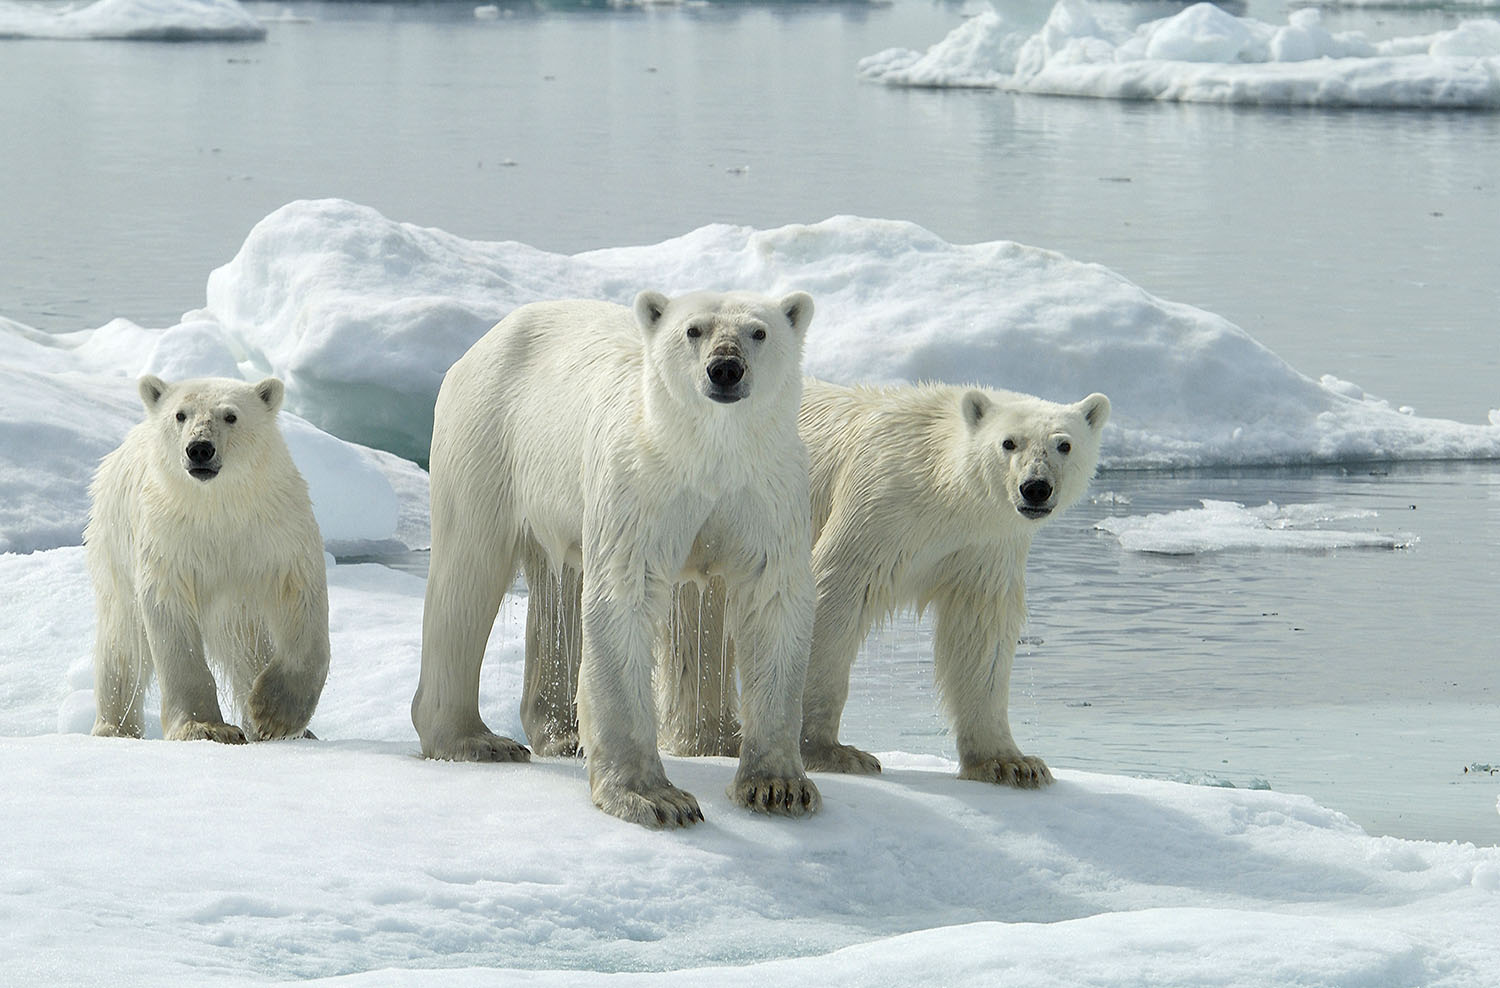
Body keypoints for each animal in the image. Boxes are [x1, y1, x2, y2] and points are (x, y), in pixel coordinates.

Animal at [86, 376, 330, 743]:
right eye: (180, 415)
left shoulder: (275, 531)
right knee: (122, 643)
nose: (200, 448)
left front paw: (273, 715)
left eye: (231, 415)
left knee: (247, 649)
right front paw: (206, 727)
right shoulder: (169, 540)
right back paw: (114, 727)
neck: (217, 506)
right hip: (114, 548)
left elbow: (301, 600)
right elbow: (170, 621)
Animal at [414, 289, 822, 833]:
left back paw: (567, 733)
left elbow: (773, 599)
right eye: (692, 329)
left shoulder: (767, 492)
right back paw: (477, 740)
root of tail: (488, 338)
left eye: (759, 331)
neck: (706, 453)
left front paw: (778, 786)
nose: (725, 368)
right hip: (490, 436)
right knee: (467, 571)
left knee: (559, 585)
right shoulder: (641, 484)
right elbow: (624, 595)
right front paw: (656, 799)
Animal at [522, 379, 1110, 785]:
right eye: (1008, 442)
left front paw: (1011, 763)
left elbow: (980, 634)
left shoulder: (984, 547)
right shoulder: (879, 504)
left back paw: (712, 735)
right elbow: (834, 595)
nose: (1035, 489)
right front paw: (830, 750)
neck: (942, 491)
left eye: (1063, 444)